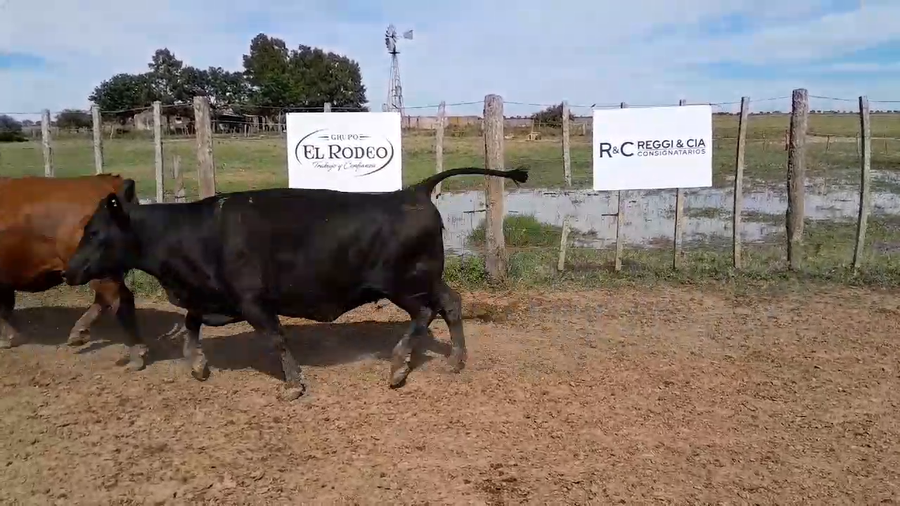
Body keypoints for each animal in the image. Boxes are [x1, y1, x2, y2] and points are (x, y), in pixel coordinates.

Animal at [0, 174, 147, 369]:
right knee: (106, 299)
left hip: (101, 273)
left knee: (120, 301)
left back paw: (136, 354)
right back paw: (79, 332)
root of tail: (109, 182)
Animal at [63, 167, 528, 400]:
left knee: (426, 313)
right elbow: (191, 323)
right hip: (428, 279)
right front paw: (196, 363)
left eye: (95, 231)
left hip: (405, 284)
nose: (68, 271)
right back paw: (456, 360)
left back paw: (398, 366)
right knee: (451, 304)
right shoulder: (212, 298)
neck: (193, 233)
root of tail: (410, 191)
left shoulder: (251, 301)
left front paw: (292, 384)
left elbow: (275, 338)